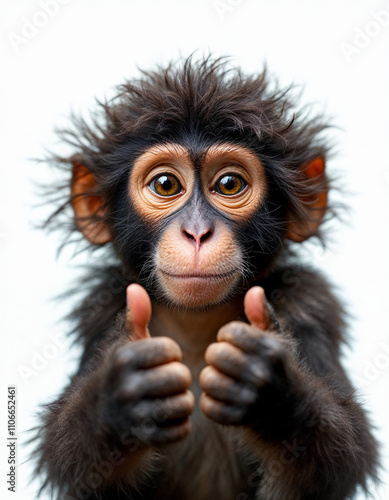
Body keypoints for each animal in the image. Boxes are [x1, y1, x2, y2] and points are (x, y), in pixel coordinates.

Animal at [34, 56, 378, 498]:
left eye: (229, 184)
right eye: (166, 184)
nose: (197, 232)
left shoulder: (309, 303)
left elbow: (342, 460)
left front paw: (271, 389)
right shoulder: (102, 308)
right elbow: (81, 471)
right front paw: (119, 401)